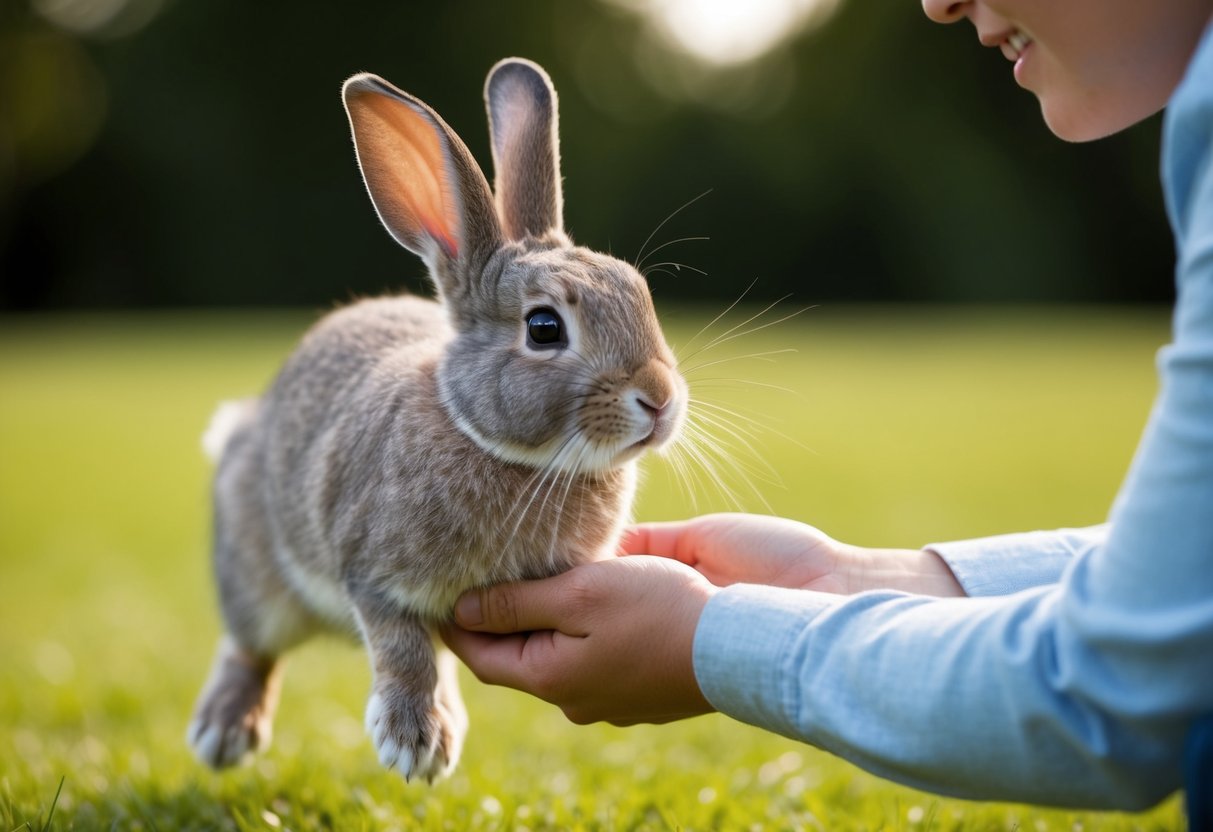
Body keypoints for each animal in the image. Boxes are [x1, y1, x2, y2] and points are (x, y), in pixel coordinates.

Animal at [186, 57, 687, 784]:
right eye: (544, 328)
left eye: (639, 294)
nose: (659, 398)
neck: (496, 445)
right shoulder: (372, 576)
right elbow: (402, 646)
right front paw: (413, 743)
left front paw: (428, 738)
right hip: (256, 575)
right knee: (251, 645)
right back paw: (224, 734)